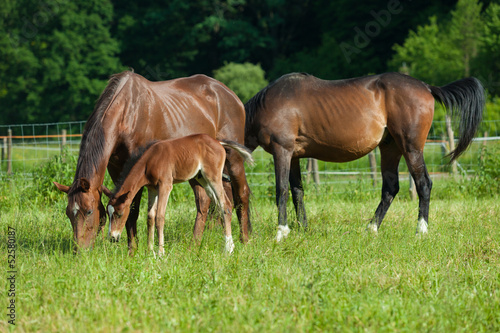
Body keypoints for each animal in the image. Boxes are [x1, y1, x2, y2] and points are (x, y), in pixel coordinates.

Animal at [104, 133, 254, 254]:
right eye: (108, 214)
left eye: (119, 214)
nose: (112, 238)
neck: (150, 161)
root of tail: (218, 142)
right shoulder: (152, 189)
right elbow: (150, 217)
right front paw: (150, 251)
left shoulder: (165, 186)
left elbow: (160, 217)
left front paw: (161, 253)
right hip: (202, 178)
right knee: (219, 205)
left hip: (213, 177)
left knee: (226, 205)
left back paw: (228, 248)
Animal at [246, 72, 484, 239]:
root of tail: (426, 87)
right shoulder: (294, 156)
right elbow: (298, 192)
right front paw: (303, 229)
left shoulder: (282, 151)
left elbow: (282, 190)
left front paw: (281, 232)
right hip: (390, 148)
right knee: (390, 188)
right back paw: (372, 228)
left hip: (411, 148)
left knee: (423, 183)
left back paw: (421, 230)